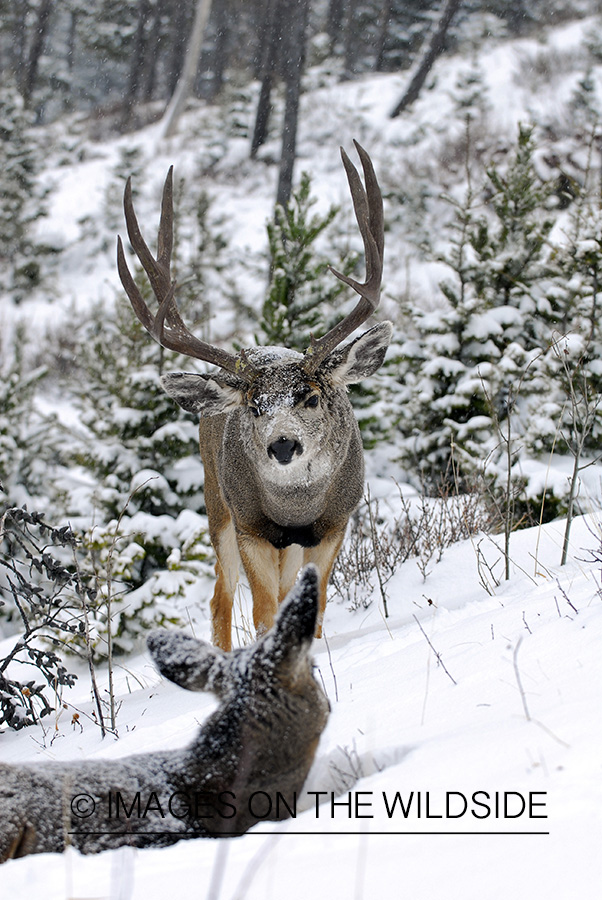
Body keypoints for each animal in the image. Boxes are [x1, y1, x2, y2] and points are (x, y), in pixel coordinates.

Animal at [116, 141, 390, 648]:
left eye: (311, 396)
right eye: (254, 406)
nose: (282, 445)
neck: (296, 511)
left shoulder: (334, 525)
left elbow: (315, 608)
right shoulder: (250, 528)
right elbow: (263, 612)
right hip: (216, 503)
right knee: (220, 597)